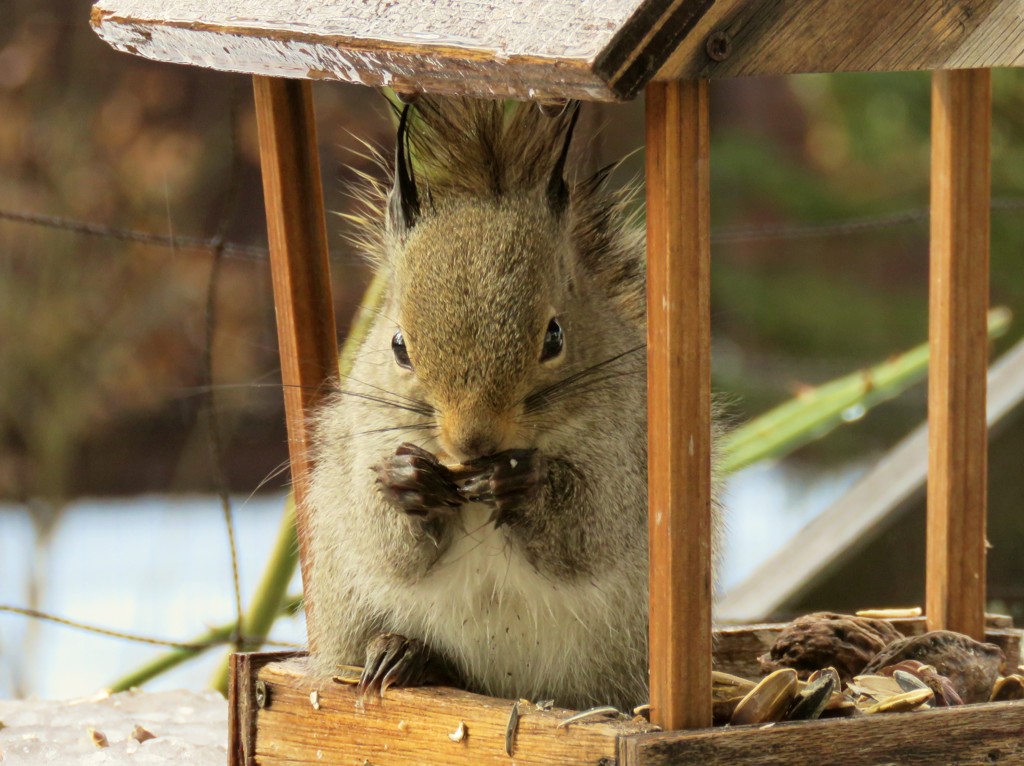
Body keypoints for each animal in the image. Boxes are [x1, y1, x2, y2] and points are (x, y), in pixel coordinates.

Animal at [307, 97, 716, 712]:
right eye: (398, 345)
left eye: (555, 336)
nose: (473, 441)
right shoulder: (358, 442)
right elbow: (382, 542)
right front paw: (406, 481)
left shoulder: (628, 447)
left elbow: (592, 530)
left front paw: (523, 482)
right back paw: (401, 653)